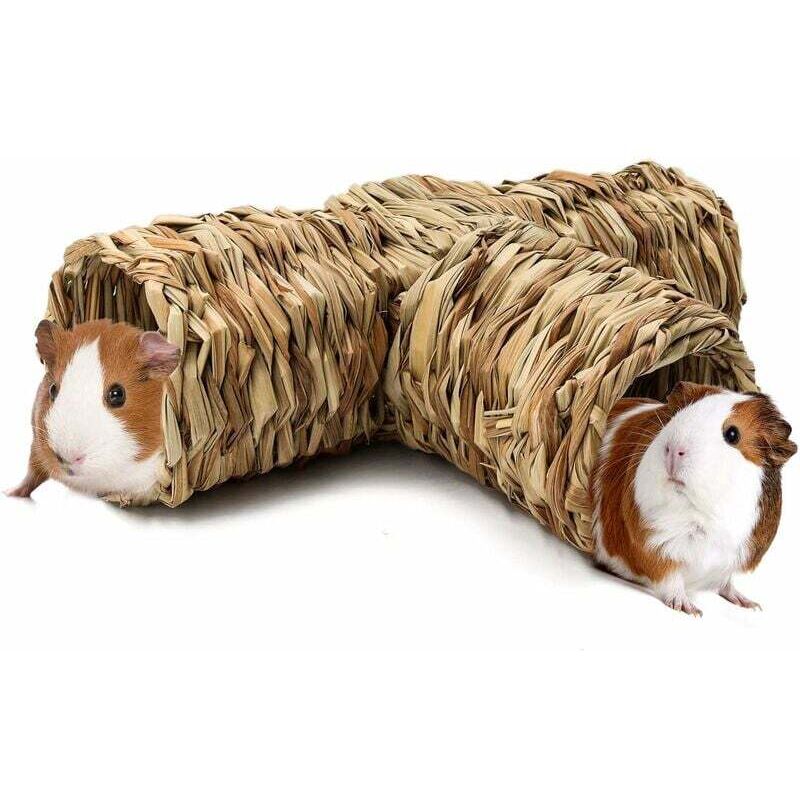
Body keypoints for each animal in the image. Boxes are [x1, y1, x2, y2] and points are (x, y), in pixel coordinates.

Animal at [7, 319, 180, 503]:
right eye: (53, 389)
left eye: (117, 394)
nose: (67, 457)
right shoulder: (36, 449)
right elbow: (32, 474)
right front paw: (11, 492)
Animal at [592, 382, 796, 616]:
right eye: (674, 417)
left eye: (732, 434)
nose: (673, 450)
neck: (702, 514)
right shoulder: (655, 548)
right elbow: (671, 580)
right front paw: (690, 610)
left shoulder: (732, 557)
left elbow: (727, 583)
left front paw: (750, 605)